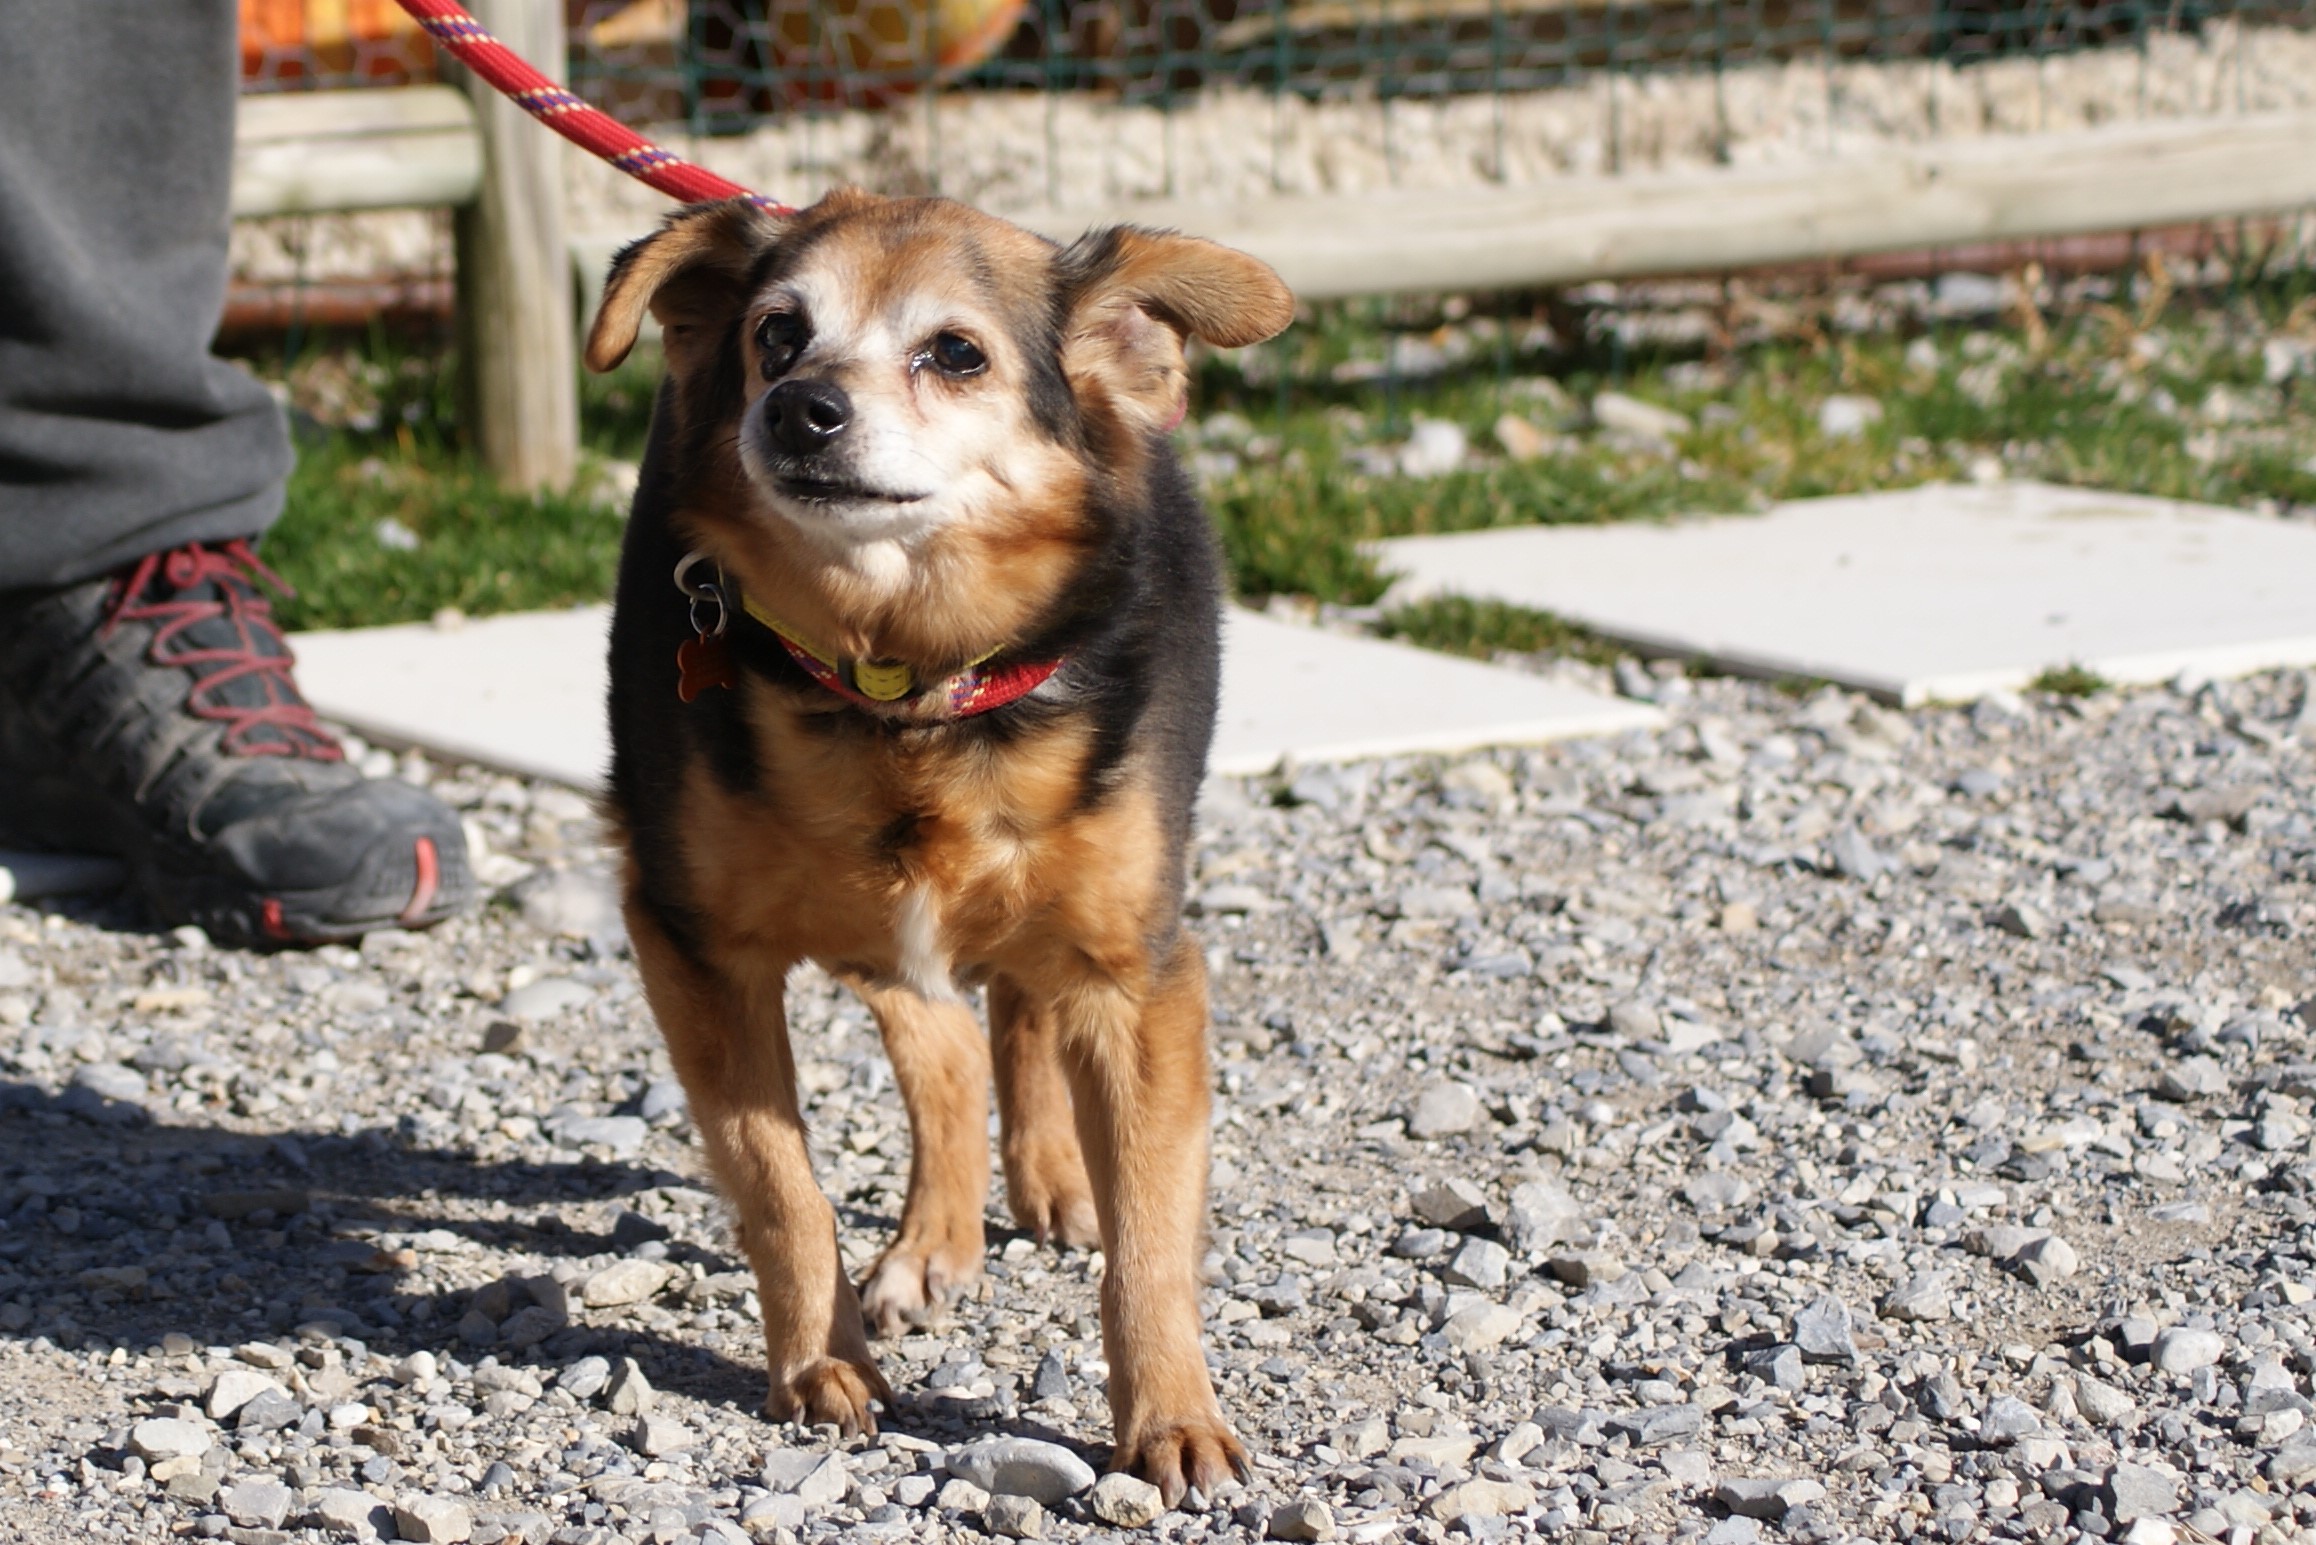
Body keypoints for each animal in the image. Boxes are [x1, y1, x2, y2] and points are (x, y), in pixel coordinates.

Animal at [579, 187, 1296, 1500]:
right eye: (776, 334)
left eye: (956, 353)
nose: (797, 407)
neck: (902, 681)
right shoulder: (689, 941)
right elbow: (779, 1181)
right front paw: (822, 1364)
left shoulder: (1139, 975)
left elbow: (1151, 1232)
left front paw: (1171, 1417)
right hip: (872, 922)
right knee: (949, 1039)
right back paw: (933, 1243)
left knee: (1007, 1013)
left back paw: (1047, 1181)